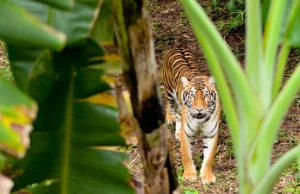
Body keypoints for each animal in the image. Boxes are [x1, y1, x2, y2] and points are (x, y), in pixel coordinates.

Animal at [162, 47, 220, 184]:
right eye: (192, 95)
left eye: (206, 95)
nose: (199, 109)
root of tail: (177, 46)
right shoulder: (186, 133)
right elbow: (186, 155)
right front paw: (189, 175)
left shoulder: (211, 133)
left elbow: (209, 157)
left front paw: (207, 176)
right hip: (169, 92)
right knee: (170, 106)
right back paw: (171, 120)